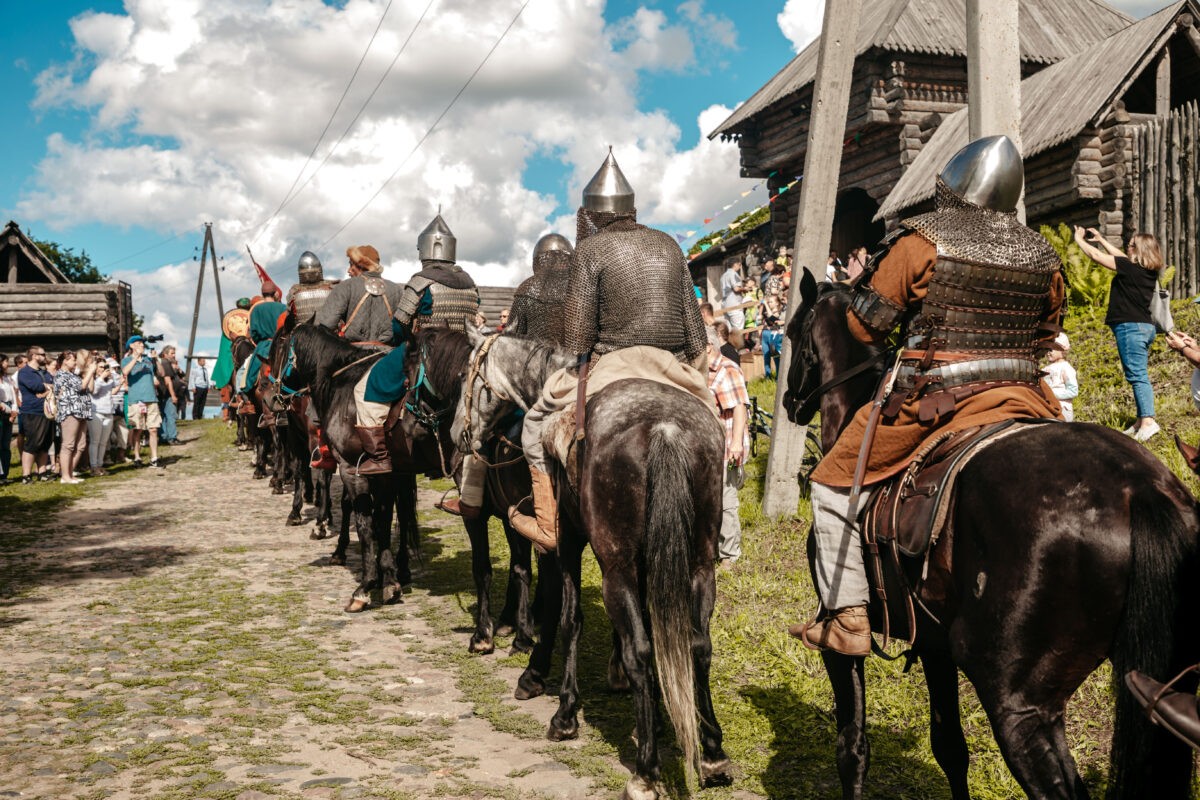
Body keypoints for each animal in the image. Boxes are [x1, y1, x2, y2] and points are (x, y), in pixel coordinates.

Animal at [451, 331, 729, 796]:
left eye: (467, 377)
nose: (458, 433)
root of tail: (666, 428)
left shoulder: (566, 545)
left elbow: (569, 617)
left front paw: (563, 710)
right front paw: (655, 711)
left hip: (615, 567)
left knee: (639, 648)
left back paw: (645, 770)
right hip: (698, 565)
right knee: (697, 645)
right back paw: (712, 754)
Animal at [782, 268, 1195, 800]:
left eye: (792, 333)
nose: (789, 402)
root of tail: (1139, 487)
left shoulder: (838, 635)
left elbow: (852, 746)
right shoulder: (933, 643)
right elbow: (949, 748)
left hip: (1017, 703)